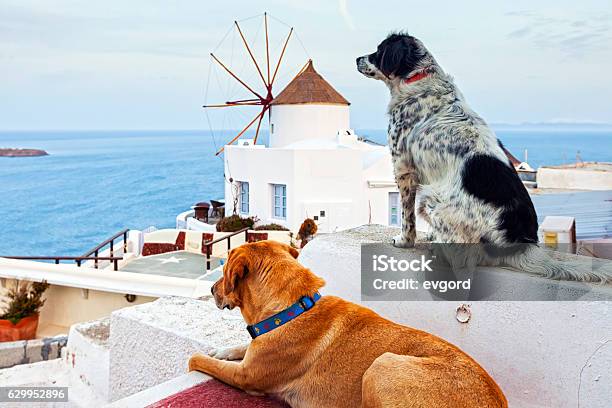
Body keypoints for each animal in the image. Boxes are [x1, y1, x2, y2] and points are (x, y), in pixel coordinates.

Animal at [190, 241, 506, 406]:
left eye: (224, 271)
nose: (211, 289)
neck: (292, 308)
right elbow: (239, 346)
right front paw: (223, 350)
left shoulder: (245, 376)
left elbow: (197, 360)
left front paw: (203, 357)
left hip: (382, 365)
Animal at [356, 33, 608, 282]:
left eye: (379, 51)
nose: (357, 59)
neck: (418, 78)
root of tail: (519, 246)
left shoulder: (403, 167)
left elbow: (406, 216)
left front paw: (404, 241)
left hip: (431, 200)